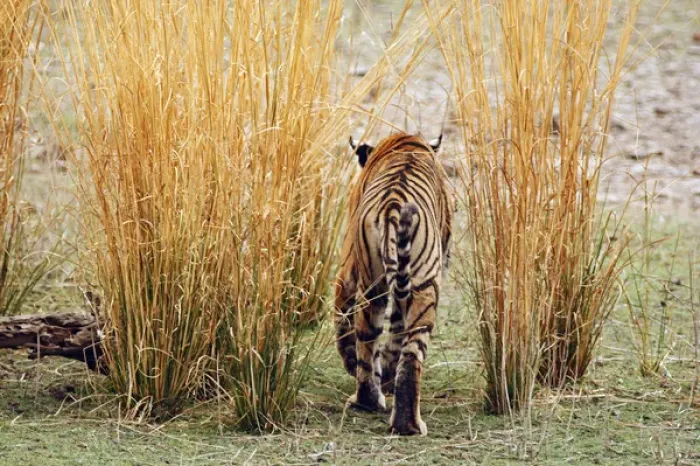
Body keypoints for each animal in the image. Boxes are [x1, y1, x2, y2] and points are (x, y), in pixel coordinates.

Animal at [334, 132, 453, 436]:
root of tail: (393, 205)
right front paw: (386, 374)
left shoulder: (348, 267)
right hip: (422, 286)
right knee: (408, 351)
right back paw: (404, 422)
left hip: (375, 284)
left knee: (371, 337)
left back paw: (371, 403)